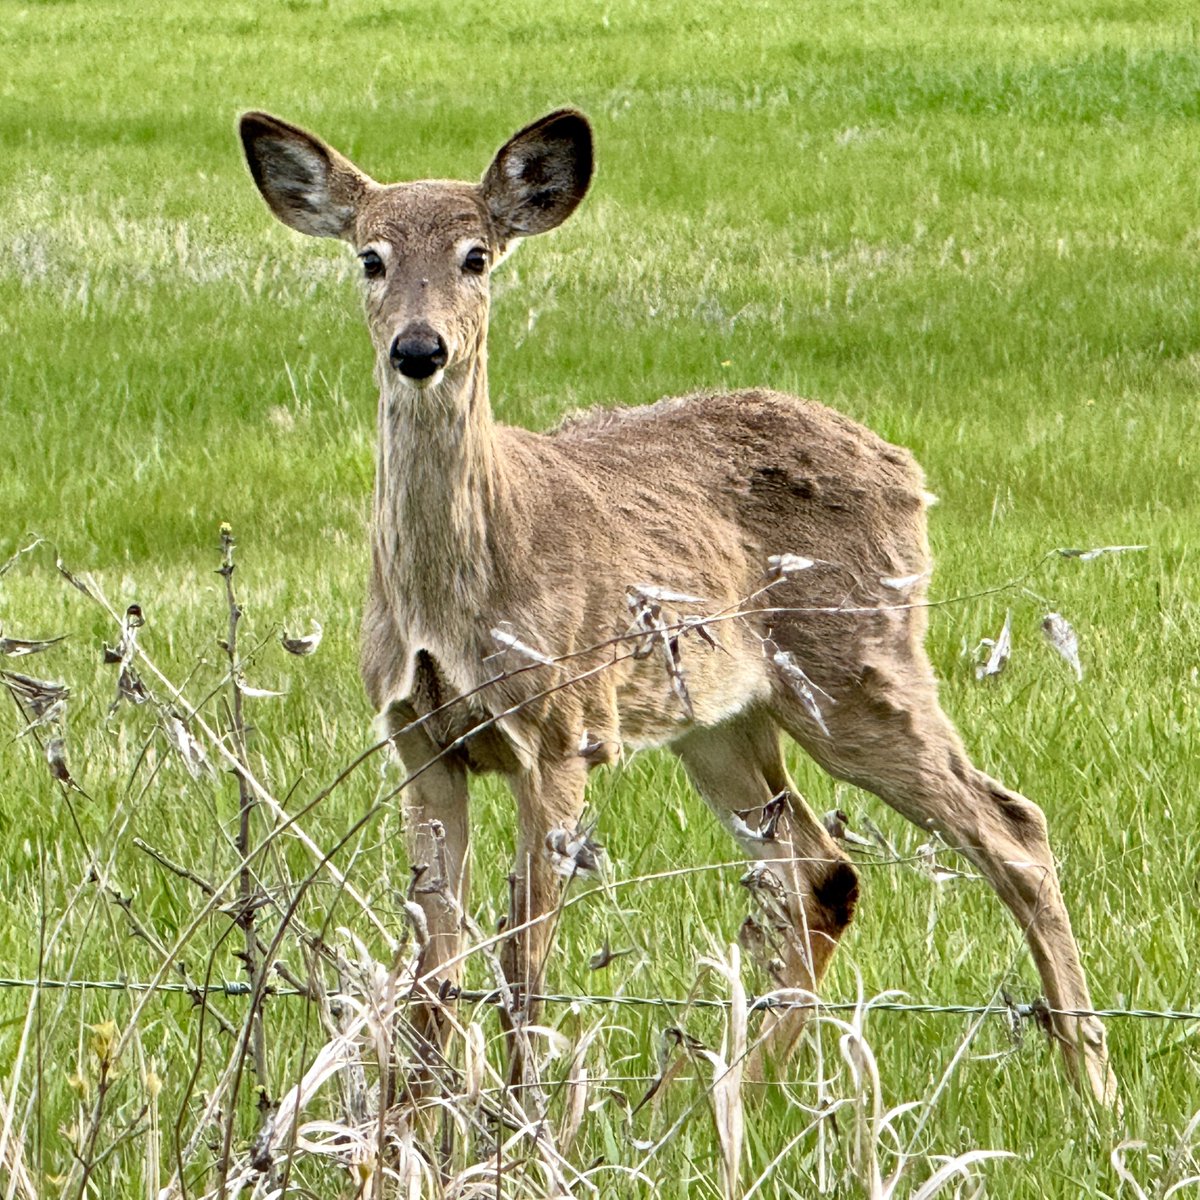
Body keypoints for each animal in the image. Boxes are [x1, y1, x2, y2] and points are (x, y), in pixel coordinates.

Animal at [241, 108, 1113, 1099]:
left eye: (476, 255)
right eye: (370, 257)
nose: (419, 349)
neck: (455, 599)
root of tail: (907, 469)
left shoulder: (561, 727)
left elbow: (523, 963)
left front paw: (524, 1122)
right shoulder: (417, 738)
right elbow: (431, 971)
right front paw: (410, 1131)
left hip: (857, 666)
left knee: (1013, 829)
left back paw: (1093, 1085)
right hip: (724, 720)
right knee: (822, 872)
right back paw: (727, 1097)